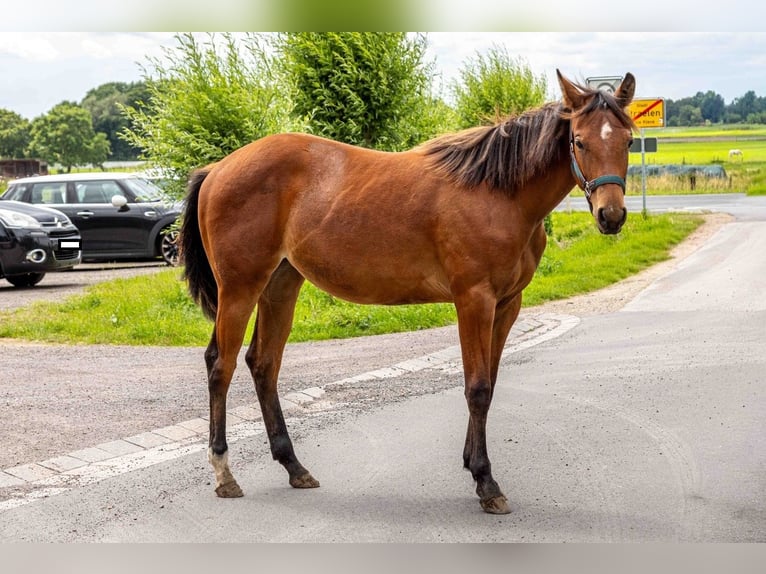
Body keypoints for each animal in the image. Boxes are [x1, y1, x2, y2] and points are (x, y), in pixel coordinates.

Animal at [180, 70, 636, 515]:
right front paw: (486, 481)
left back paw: (294, 466)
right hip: (239, 289)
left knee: (263, 364)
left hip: (280, 285)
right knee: (221, 366)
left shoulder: (508, 305)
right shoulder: (474, 301)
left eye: (628, 140)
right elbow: (477, 388)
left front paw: (473, 466)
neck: (498, 194)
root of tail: (218, 169)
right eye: (579, 140)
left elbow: (489, 382)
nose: (611, 215)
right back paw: (224, 473)